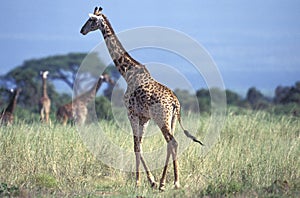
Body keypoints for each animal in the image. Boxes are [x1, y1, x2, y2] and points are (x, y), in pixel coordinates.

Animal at [79, 6, 204, 191]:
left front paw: (139, 181)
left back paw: (172, 182)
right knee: (170, 144)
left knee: (172, 142)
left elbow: (135, 145)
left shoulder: (131, 113)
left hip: (161, 119)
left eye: (91, 20)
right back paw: (166, 182)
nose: (82, 30)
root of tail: (175, 103)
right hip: (172, 120)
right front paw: (151, 181)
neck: (127, 73)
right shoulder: (144, 117)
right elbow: (140, 144)